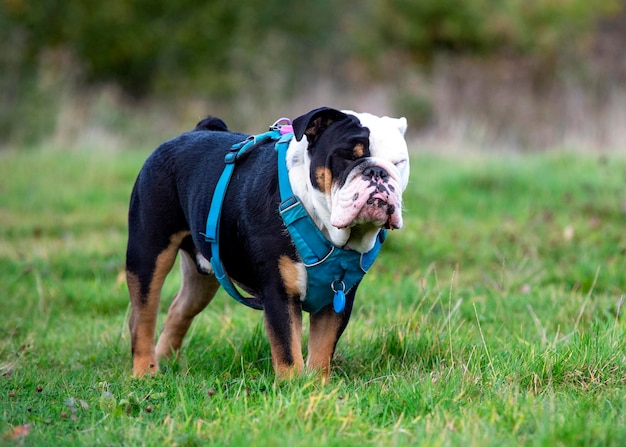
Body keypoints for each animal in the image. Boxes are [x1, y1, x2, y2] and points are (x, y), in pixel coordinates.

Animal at [127, 107, 410, 380]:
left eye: (399, 163)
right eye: (348, 157)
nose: (377, 172)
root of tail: (194, 131)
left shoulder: (338, 298)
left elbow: (322, 351)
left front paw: (318, 388)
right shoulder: (280, 293)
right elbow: (288, 350)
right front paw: (292, 387)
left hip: (204, 275)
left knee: (179, 310)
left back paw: (165, 361)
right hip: (148, 253)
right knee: (142, 315)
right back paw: (145, 372)